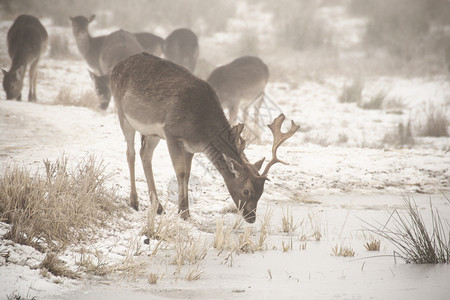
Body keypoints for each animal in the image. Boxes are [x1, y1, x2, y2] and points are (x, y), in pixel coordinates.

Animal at [110, 53, 298, 223]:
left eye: (262, 192)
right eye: (246, 191)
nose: (251, 218)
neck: (201, 130)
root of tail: (116, 66)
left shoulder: (190, 147)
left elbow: (187, 175)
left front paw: (184, 211)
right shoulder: (171, 133)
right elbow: (180, 172)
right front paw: (184, 213)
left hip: (152, 133)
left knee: (145, 154)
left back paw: (158, 206)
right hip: (123, 113)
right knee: (131, 153)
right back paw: (134, 202)